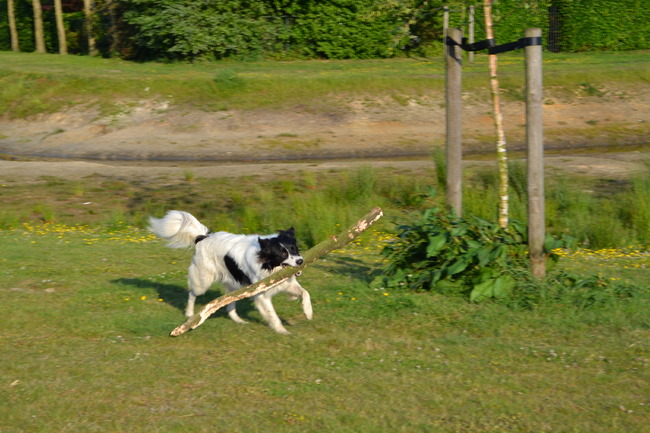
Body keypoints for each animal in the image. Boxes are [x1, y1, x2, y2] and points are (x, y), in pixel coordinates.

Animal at [149, 210, 312, 334]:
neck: (266, 262)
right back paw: (189, 314)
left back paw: (238, 320)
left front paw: (308, 312)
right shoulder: (261, 294)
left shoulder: (286, 283)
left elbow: (305, 293)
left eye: (295, 249)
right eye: (283, 254)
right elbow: (272, 314)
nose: (300, 261)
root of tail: (203, 237)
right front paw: (282, 330)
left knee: (228, 304)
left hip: (236, 286)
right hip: (203, 281)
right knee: (192, 294)